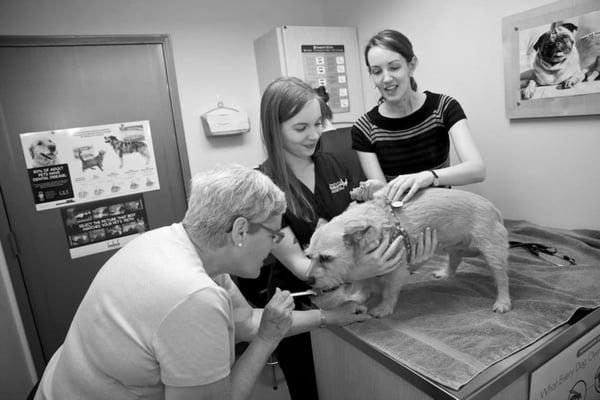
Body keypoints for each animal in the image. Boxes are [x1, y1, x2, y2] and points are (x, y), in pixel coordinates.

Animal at [310, 188, 510, 318]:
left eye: (325, 258)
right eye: (309, 256)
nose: (308, 280)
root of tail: (494, 210)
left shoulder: (396, 272)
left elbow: (389, 293)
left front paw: (384, 308)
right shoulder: (363, 269)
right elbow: (363, 284)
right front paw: (358, 297)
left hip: (493, 255)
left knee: (502, 279)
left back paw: (503, 302)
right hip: (455, 247)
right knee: (454, 260)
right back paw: (446, 273)